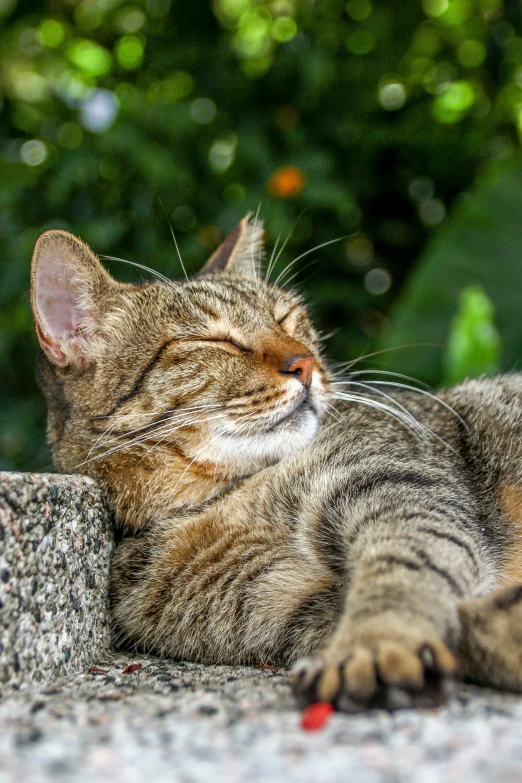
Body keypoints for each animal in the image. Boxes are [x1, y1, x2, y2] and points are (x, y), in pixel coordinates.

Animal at [29, 214, 522, 712]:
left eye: (287, 318)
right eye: (214, 339)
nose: (304, 364)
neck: (224, 497)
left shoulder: (399, 485)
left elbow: (404, 573)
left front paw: (376, 644)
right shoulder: (280, 597)